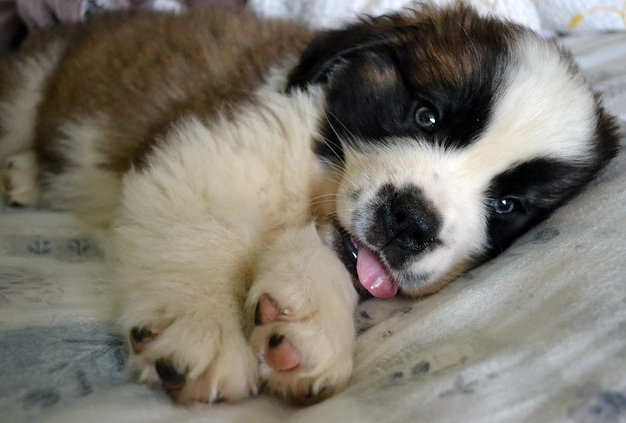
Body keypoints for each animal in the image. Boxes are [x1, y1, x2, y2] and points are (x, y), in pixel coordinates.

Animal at [0, 4, 616, 406]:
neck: (319, 174)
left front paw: (304, 325)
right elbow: (206, 230)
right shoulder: (210, 152)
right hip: (31, 85)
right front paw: (202, 328)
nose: (411, 221)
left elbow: (320, 253)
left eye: (507, 203)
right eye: (426, 116)